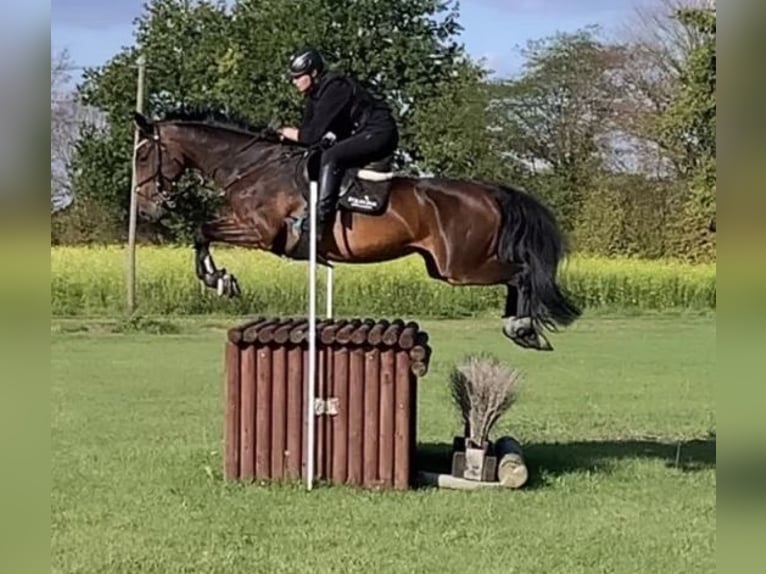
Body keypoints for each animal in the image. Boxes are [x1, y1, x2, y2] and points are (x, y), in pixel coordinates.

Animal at [129, 108, 584, 352]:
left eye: (144, 155)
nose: (146, 207)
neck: (252, 168)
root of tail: (489, 191)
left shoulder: (260, 232)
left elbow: (202, 230)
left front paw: (218, 279)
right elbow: (202, 232)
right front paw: (219, 278)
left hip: (461, 267)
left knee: (521, 274)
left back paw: (522, 328)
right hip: (446, 267)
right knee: (516, 276)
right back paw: (519, 328)